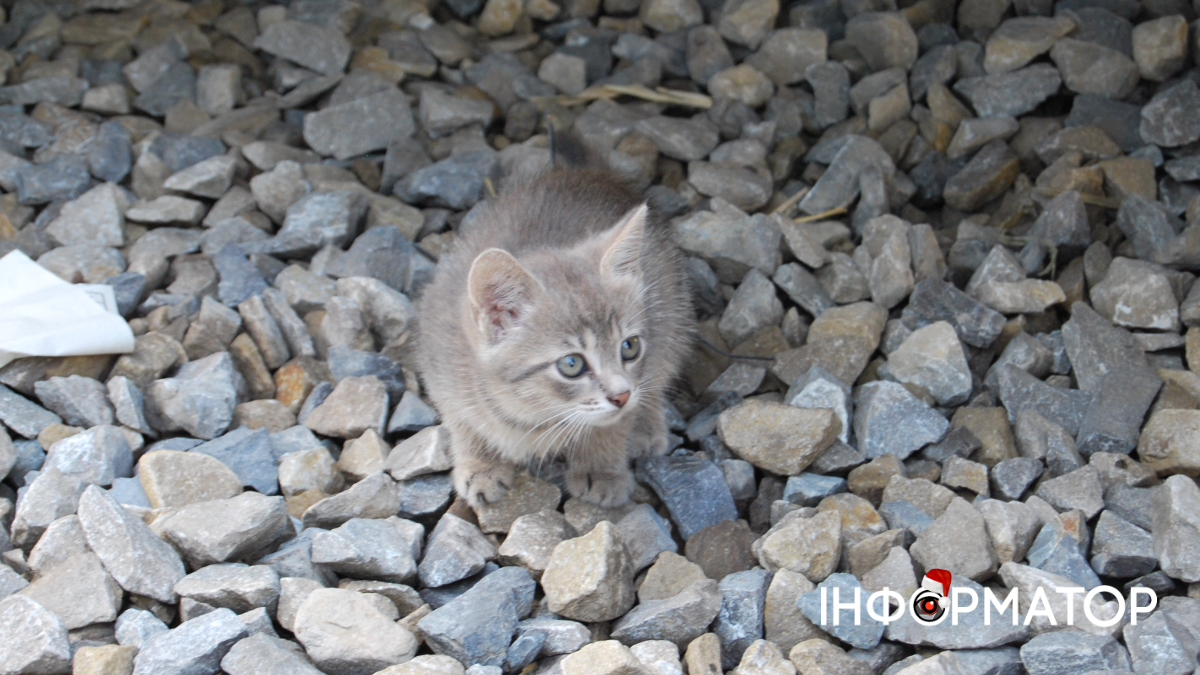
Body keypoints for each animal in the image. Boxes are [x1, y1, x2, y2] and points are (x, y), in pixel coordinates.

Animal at [415, 154, 691, 506]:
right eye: (571, 364)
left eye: (629, 347)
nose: (622, 396)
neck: (533, 415)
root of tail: (585, 173)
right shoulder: (439, 364)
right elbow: (462, 421)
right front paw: (481, 463)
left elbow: (613, 423)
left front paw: (602, 467)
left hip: (672, 307)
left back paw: (646, 425)